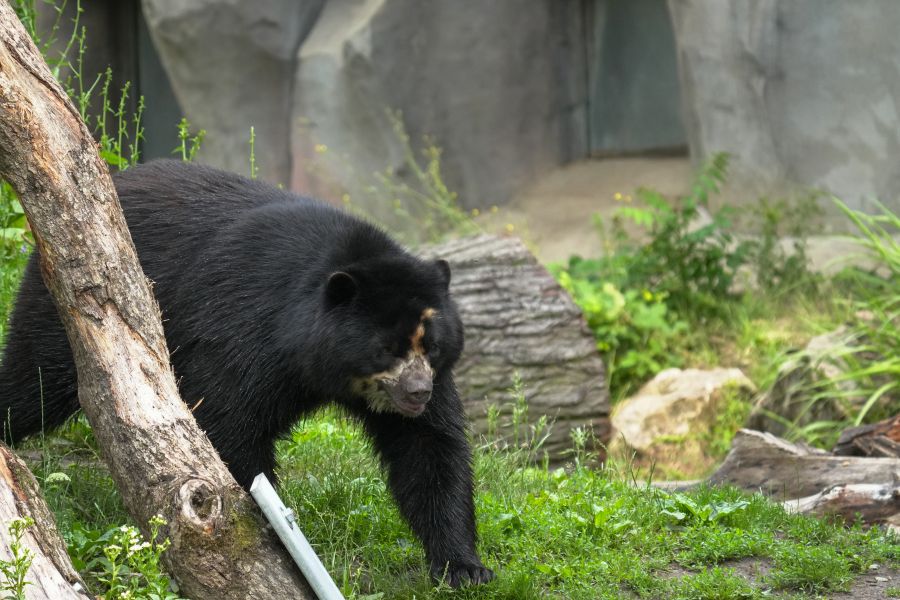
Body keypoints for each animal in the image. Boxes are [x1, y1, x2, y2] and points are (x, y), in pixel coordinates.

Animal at [0, 160, 494, 587]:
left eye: (431, 346)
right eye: (385, 349)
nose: (417, 393)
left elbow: (428, 448)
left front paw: (465, 568)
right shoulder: (243, 327)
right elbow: (226, 418)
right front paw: (271, 531)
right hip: (69, 310)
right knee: (33, 383)